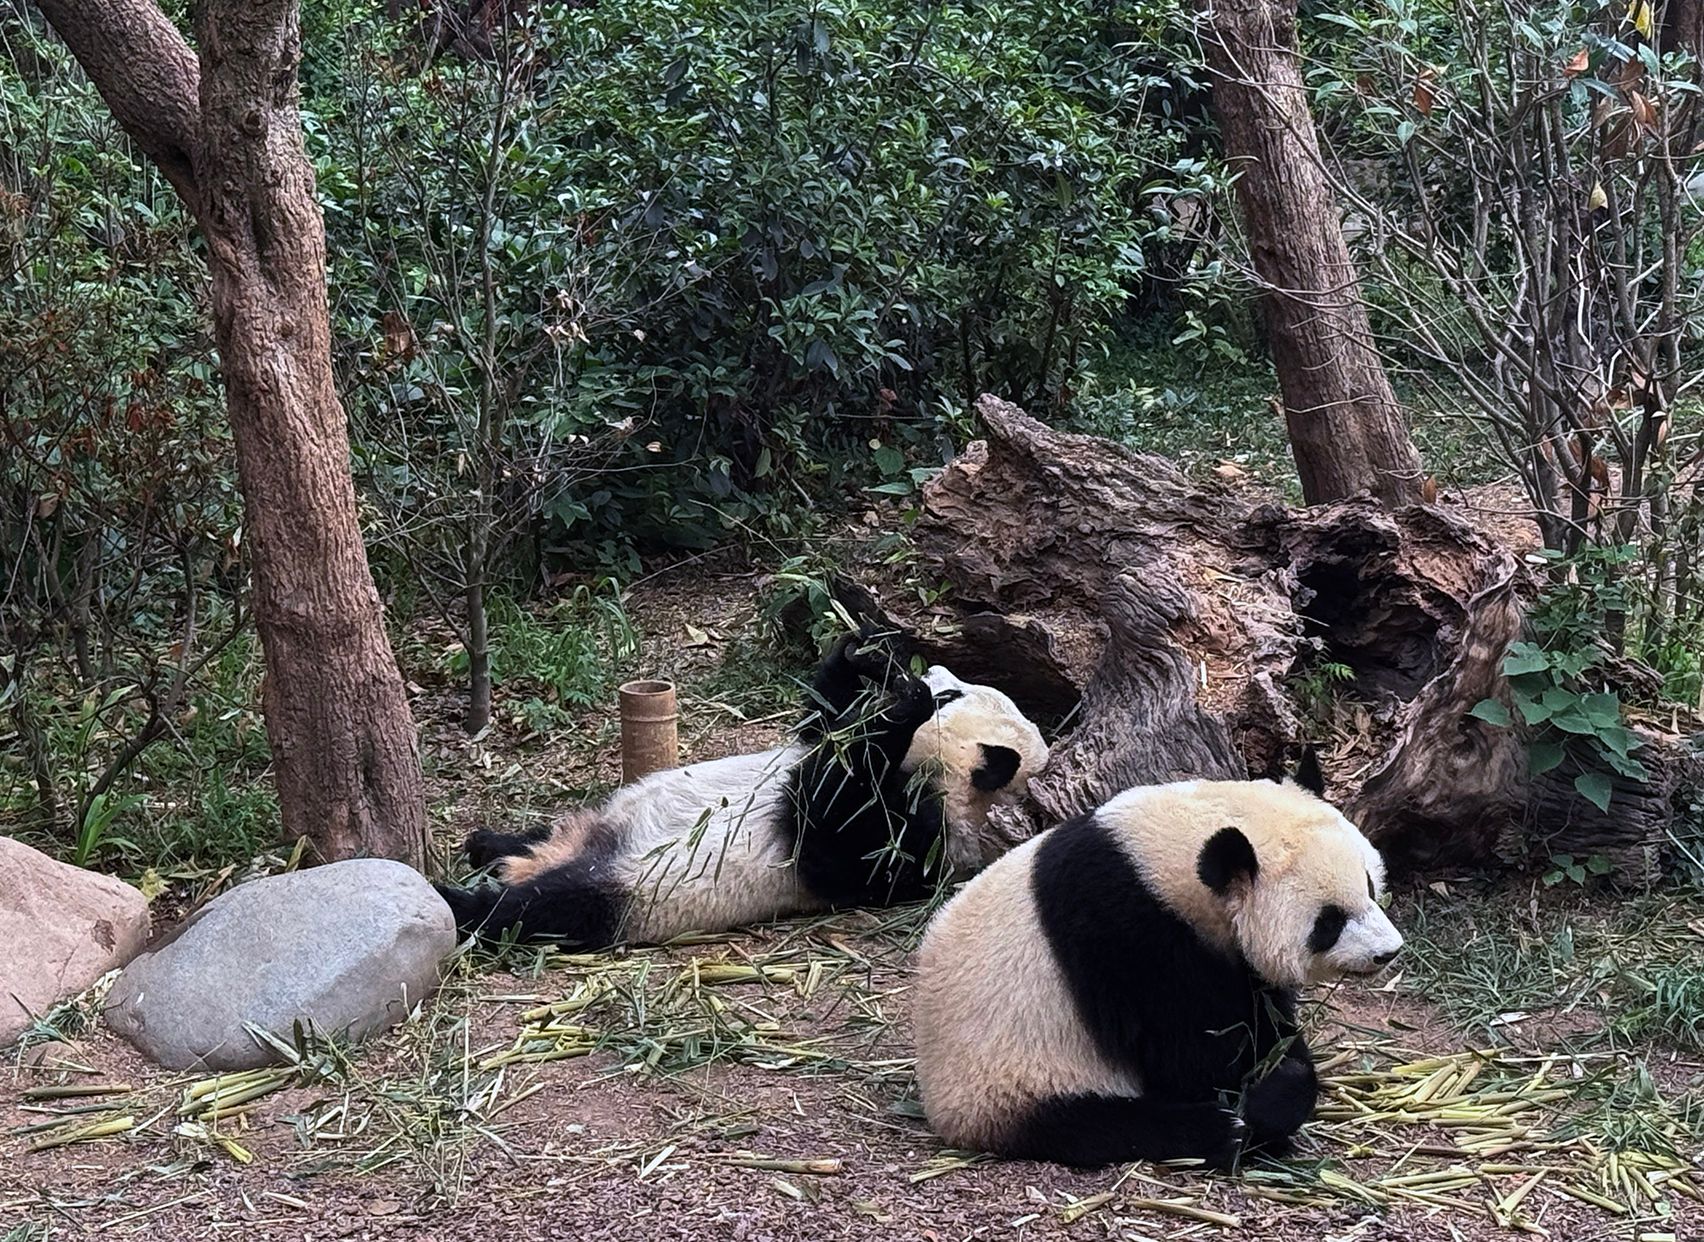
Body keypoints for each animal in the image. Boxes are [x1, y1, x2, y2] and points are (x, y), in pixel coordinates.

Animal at [435, 633, 1050, 947]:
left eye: (952, 698)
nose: (933, 675)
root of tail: (553, 859)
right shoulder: (820, 745)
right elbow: (819, 723)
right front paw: (863, 654)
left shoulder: (919, 840)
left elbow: (836, 826)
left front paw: (902, 708)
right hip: (597, 824)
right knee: (539, 835)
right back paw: (489, 843)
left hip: (629, 893)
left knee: (539, 911)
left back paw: (463, 900)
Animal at [911, 753, 1402, 1170]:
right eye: (1329, 921)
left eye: (1368, 886)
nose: (1388, 951)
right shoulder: (1129, 933)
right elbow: (1186, 1049)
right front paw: (1249, 1112)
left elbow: (1265, 1024)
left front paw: (1275, 1092)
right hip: (1013, 1077)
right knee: (1092, 1126)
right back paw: (1214, 1130)